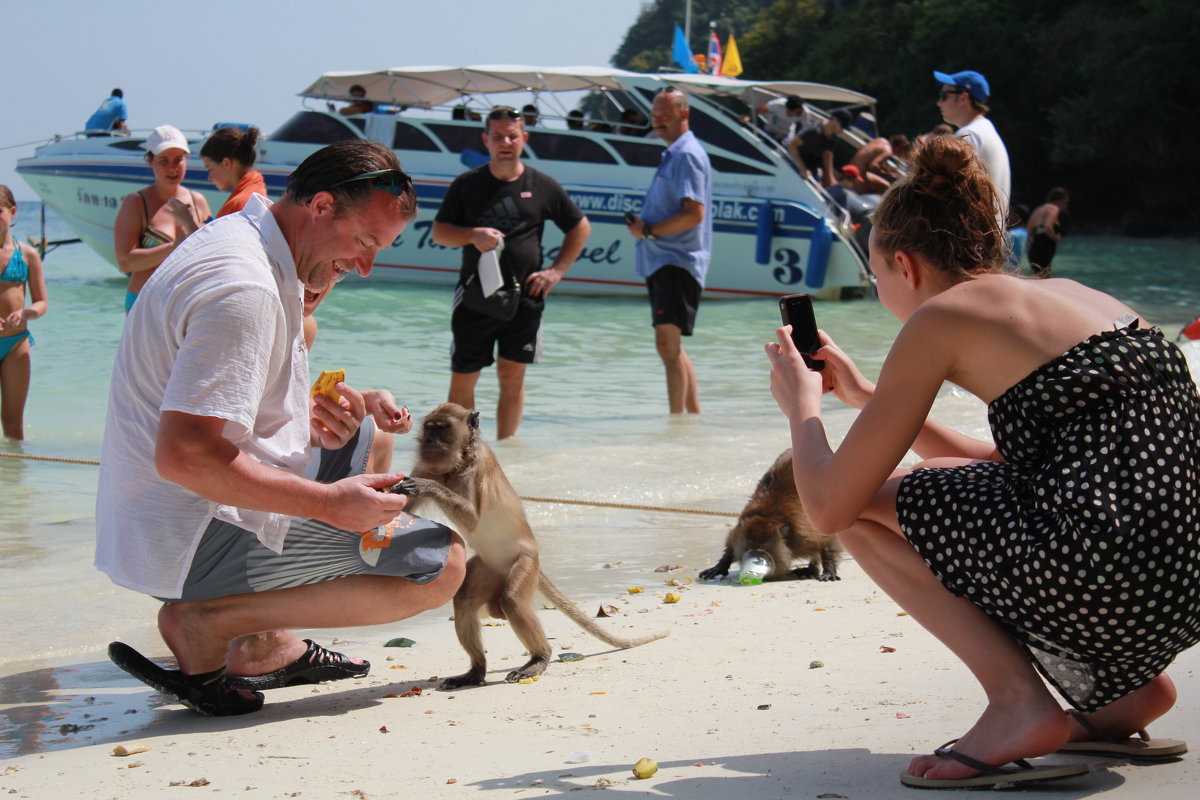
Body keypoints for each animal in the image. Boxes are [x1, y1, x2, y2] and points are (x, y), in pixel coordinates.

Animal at [388, 402, 667, 690]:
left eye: (442, 429)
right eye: (429, 428)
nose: (429, 441)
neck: (458, 460)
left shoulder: (476, 468)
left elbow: (472, 518)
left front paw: (429, 487)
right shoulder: (425, 464)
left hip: (526, 562)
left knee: (511, 599)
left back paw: (539, 657)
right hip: (489, 569)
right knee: (465, 600)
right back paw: (476, 671)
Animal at [700, 450, 840, 582]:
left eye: (762, 551)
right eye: (749, 548)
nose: (756, 559)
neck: (770, 516)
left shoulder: (804, 532)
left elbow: (828, 539)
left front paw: (829, 570)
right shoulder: (742, 526)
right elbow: (732, 541)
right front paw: (720, 566)